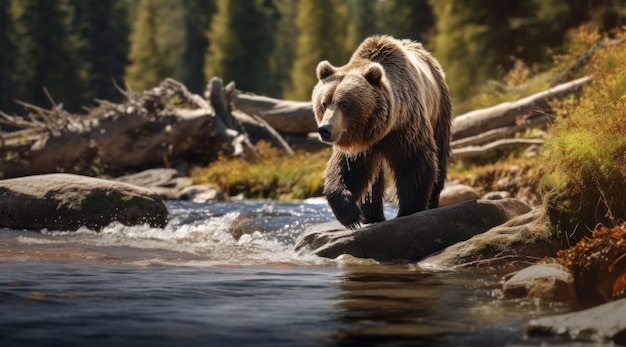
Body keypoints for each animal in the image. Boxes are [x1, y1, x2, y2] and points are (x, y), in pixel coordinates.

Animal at [310, 36, 448, 231]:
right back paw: (372, 216)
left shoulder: (405, 126)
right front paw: (351, 215)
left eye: (344, 103)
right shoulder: (358, 144)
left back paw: (433, 201)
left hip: (439, 108)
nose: (325, 129)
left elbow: (413, 160)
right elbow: (347, 169)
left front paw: (410, 209)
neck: (381, 129)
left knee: (440, 154)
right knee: (374, 179)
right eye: (324, 103)